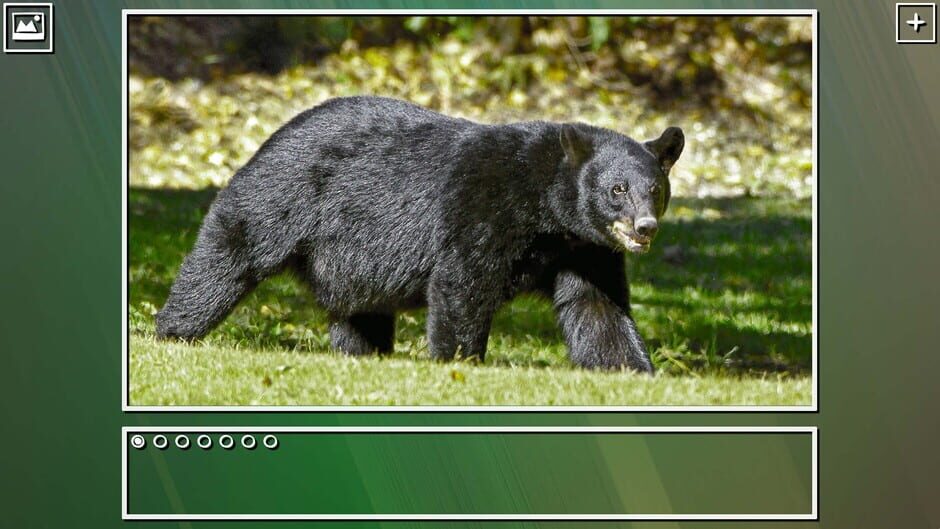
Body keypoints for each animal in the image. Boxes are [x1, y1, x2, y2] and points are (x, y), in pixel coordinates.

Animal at [155, 96, 684, 372]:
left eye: (655, 190)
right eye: (617, 190)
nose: (644, 227)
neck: (546, 209)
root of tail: (273, 134)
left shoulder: (584, 247)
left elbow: (597, 306)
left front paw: (632, 370)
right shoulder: (483, 208)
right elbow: (463, 284)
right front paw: (460, 363)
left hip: (350, 261)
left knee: (359, 311)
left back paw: (363, 353)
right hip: (281, 195)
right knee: (229, 255)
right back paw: (173, 331)